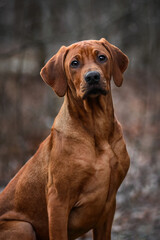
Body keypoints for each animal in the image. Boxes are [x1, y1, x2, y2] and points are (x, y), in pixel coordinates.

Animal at [0, 38, 130, 239]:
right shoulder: (58, 201)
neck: (97, 129)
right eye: (74, 63)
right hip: (22, 227)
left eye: (102, 57)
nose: (92, 77)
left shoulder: (109, 205)